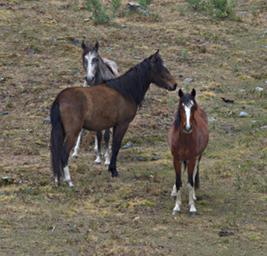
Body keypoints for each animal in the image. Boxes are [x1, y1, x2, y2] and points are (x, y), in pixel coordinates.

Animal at [50, 50, 178, 186]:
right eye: (160, 69)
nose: (174, 84)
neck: (125, 91)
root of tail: (60, 98)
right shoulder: (122, 125)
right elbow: (116, 146)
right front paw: (113, 171)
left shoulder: (115, 125)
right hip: (73, 133)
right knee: (64, 154)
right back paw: (69, 181)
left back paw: (58, 179)